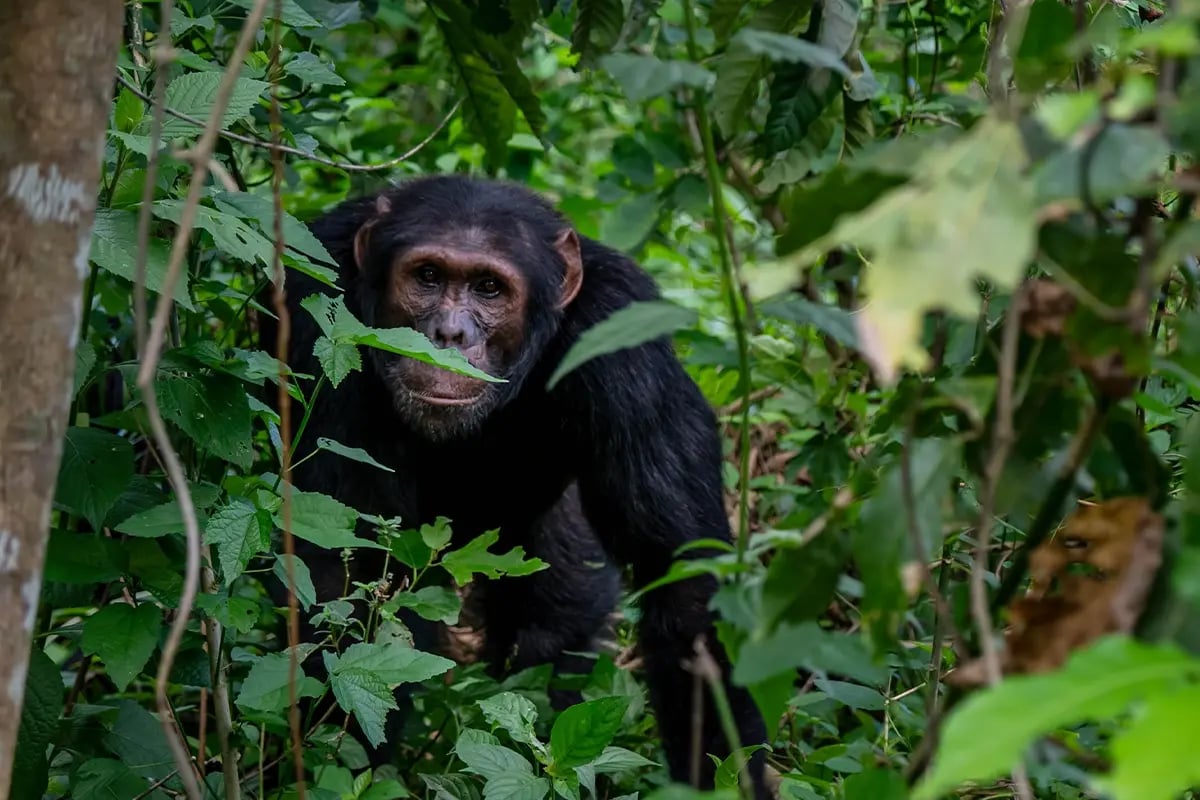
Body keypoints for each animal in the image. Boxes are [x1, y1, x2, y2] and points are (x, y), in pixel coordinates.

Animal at [259, 173, 772, 796]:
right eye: (427, 277)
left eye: (488, 288)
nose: (449, 332)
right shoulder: (315, 304)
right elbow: (343, 566)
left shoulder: (625, 338)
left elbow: (683, 579)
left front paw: (725, 777)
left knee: (552, 626)